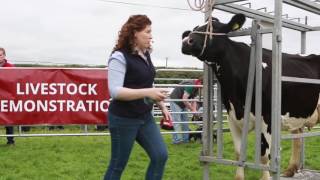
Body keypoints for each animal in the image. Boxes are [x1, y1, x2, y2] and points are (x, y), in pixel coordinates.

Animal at [181, 14, 318, 180]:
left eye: (215, 28)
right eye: (194, 29)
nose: (186, 41)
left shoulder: (267, 119)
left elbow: (264, 156)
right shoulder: (232, 117)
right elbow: (239, 153)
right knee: (297, 138)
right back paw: (290, 170)